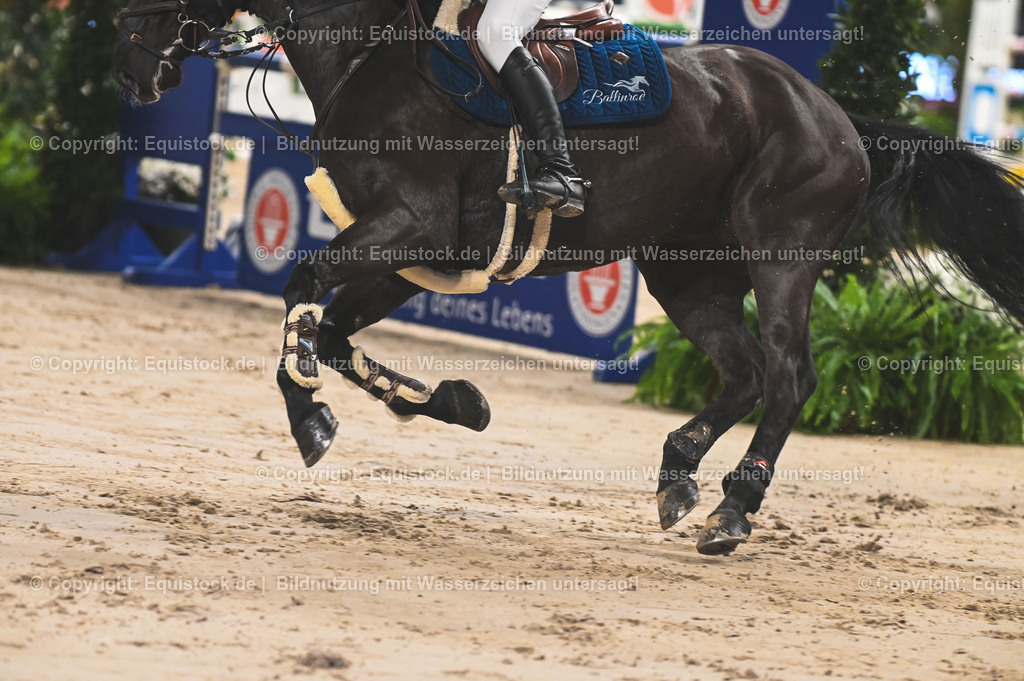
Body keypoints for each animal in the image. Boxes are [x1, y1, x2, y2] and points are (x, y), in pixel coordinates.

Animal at [112, 0, 1024, 555]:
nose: (130, 72)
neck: (371, 54)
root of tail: (836, 114)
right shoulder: (413, 257)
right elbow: (331, 334)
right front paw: (453, 402)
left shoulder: (407, 226)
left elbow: (302, 296)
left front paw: (310, 420)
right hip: (686, 270)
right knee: (742, 372)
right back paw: (679, 473)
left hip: (783, 255)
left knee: (789, 375)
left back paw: (733, 508)